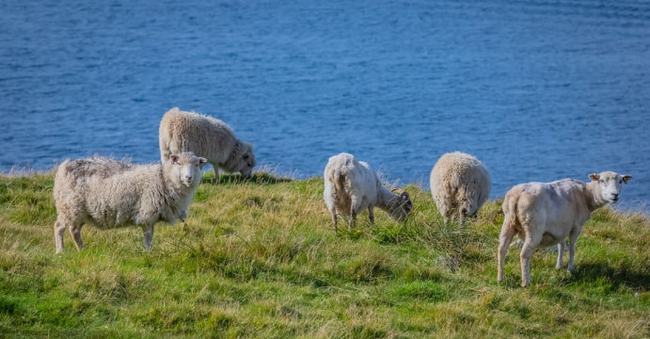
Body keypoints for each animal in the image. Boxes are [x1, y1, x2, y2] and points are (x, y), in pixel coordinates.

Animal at [52, 153, 206, 254]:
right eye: (179, 163)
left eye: (197, 165)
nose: (188, 177)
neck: (164, 179)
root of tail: (63, 167)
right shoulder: (147, 213)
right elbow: (148, 236)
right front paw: (148, 253)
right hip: (70, 207)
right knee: (60, 227)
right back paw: (61, 251)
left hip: (79, 211)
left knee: (74, 230)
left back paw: (81, 249)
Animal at [496, 173, 628, 286]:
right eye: (601, 181)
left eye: (620, 181)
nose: (615, 195)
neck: (587, 195)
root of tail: (517, 196)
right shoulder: (576, 226)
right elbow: (572, 249)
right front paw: (570, 269)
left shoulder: (561, 227)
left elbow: (561, 245)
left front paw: (558, 266)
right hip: (533, 229)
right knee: (524, 255)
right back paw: (526, 282)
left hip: (508, 223)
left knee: (502, 249)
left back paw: (500, 278)